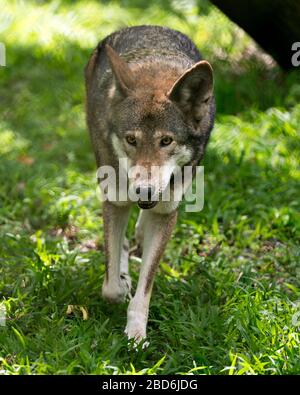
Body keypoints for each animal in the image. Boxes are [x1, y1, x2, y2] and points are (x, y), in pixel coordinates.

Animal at [85, 25, 214, 346]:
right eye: (131, 139)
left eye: (166, 140)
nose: (143, 191)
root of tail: (150, 27)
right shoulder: (115, 199)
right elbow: (111, 287)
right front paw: (121, 282)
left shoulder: (166, 209)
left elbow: (145, 288)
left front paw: (136, 334)